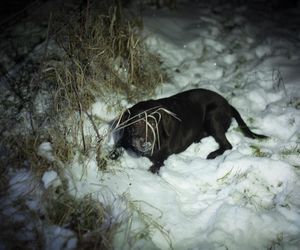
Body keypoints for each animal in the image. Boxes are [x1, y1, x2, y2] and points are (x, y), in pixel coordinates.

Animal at [110, 88, 268, 174]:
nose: (145, 144)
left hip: (213, 116)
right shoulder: (124, 139)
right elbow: (115, 148)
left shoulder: (163, 156)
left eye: (154, 123)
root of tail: (228, 104)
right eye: (134, 123)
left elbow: (156, 165)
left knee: (227, 144)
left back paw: (212, 154)